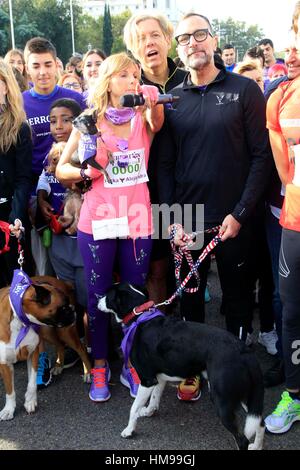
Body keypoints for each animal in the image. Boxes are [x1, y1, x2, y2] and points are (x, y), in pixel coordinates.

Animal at [0, 270, 91, 420]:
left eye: (67, 306)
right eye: (63, 307)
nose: (72, 310)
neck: (20, 320)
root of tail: (60, 281)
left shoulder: (33, 354)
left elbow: (31, 384)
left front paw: (30, 401)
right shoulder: (5, 363)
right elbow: (10, 390)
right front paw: (9, 409)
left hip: (64, 331)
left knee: (81, 348)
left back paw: (88, 372)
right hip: (48, 332)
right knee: (60, 345)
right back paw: (59, 366)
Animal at [99, 282, 266, 452]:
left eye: (108, 295)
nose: (97, 299)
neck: (140, 316)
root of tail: (243, 350)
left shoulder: (146, 380)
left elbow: (133, 408)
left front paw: (129, 430)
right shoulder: (159, 378)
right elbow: (154, 398)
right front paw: (149, 411)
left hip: (222, 400)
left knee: (242, 439)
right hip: (247, 396)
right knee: (260, 423)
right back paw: (257, 446)